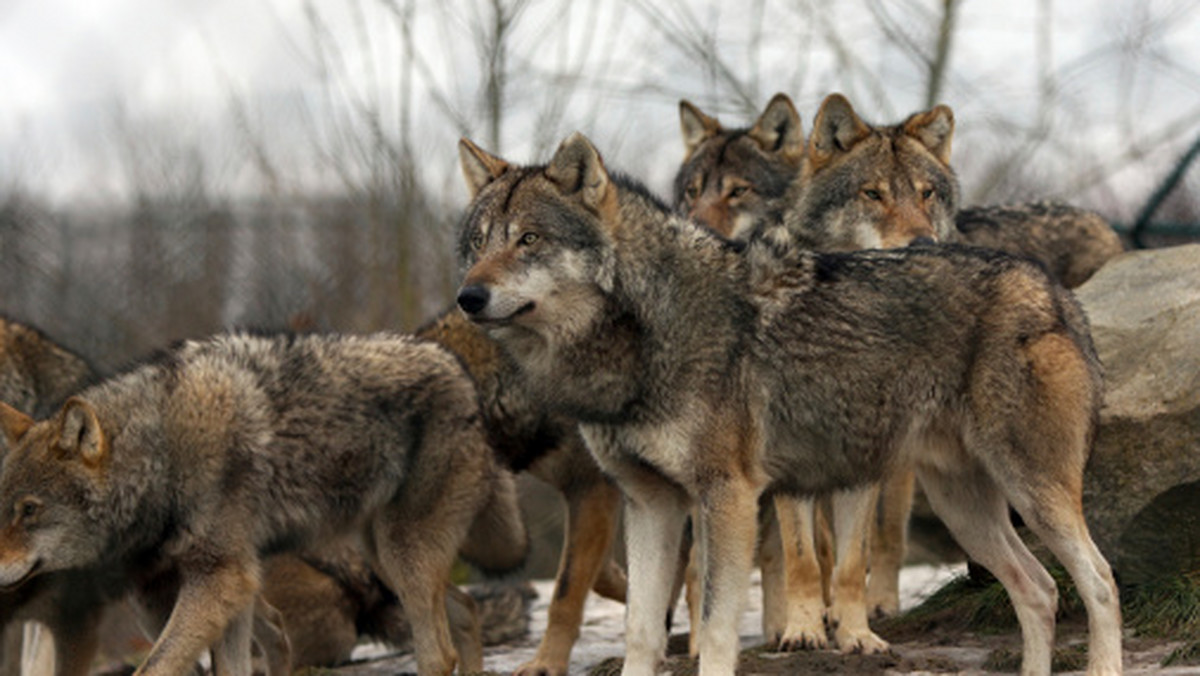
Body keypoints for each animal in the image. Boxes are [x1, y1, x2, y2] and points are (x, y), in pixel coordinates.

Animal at [0, 331, 520, 676]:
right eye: (6, 509)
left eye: (30, 511)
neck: (162, 451)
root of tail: (460, 373)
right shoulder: (225, 582)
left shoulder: (222, 577)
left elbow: (156, 666)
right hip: (385, 558)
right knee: (466, 610)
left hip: (400, 556)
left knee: (438, 654)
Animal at [451, 133, 1123, 676]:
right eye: (479, 243)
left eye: (529, 239)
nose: (468, 297)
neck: (645, 330)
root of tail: (1054, 291)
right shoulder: (650, 505)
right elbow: (642, 634)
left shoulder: (727, 498)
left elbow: (715, 631)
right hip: (967, 509)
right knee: (1039, 589)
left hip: (1033, 494)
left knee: (1100, 582)